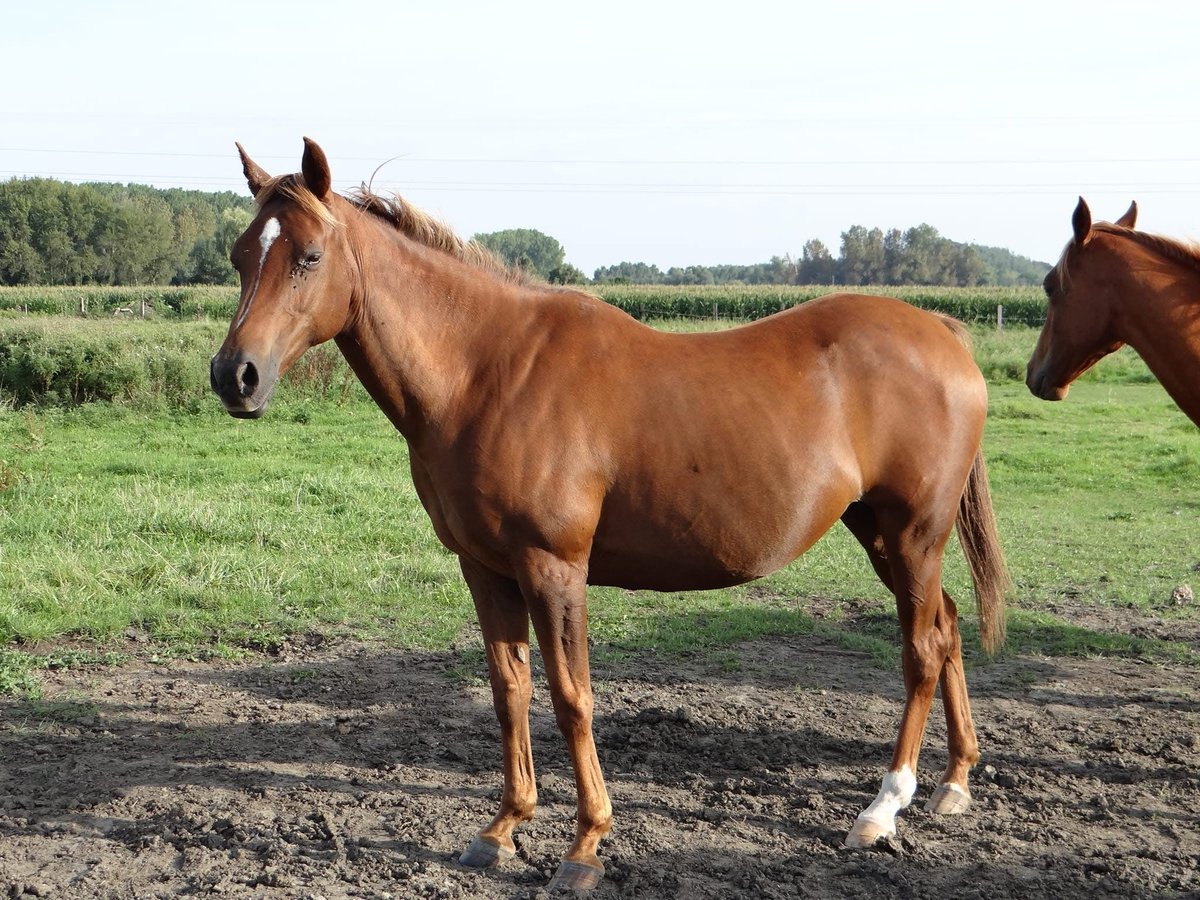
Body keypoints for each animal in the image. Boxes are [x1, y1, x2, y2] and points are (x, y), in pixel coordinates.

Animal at [211, 139, 1008, 888]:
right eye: (241, 255)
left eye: (309, 256)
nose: (234, 376)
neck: (485, 372)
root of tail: (940, 331)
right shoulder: (485, 568)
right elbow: (509, 691)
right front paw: (502, 828)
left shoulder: (554, 567)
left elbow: (572, 698)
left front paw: (586, 844)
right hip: (880, 532)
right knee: (947, 628)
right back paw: (953, 783)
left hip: (912, 534)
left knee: (921, 650)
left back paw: (883, 808)